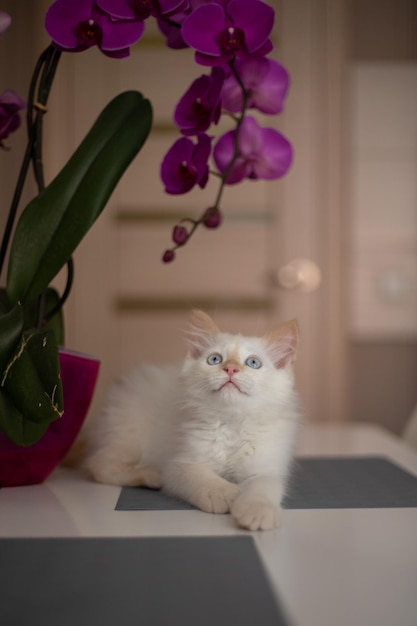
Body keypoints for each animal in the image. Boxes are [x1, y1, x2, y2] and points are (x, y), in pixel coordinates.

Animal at [86, 310, 300, 528]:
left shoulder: (266, 467)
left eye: (253, 363)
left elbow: (264, 487)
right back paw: (150, 475)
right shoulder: (179, 465)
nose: (230, 368)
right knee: (99, 466)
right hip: (130, 437)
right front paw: (224, 493)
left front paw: (257, 511)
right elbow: (200, 477)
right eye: (215, 359)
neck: (231, 421)